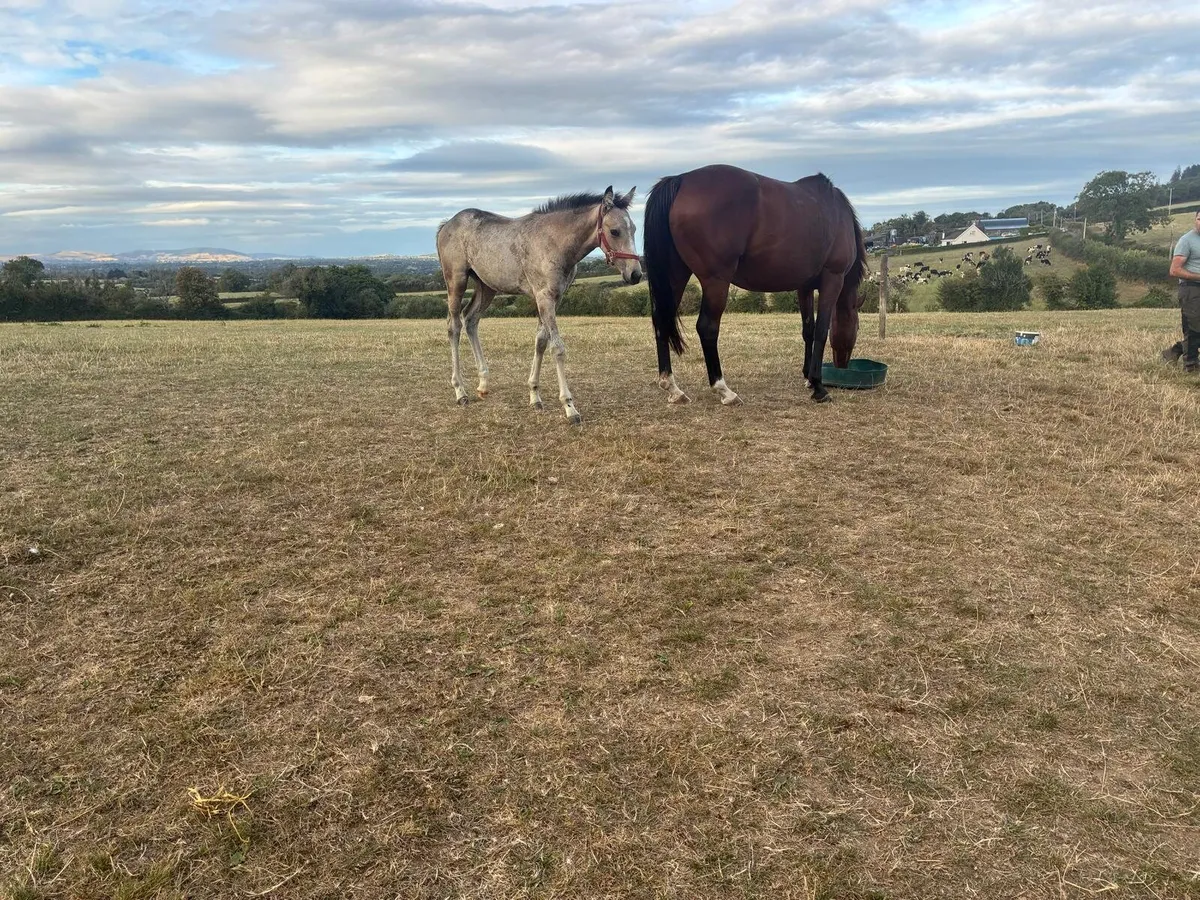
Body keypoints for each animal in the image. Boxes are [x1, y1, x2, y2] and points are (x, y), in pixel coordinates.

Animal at [436, 187, 642, 424]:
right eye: (615, 231)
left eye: (634, 228)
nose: (635, 274)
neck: (555, 241)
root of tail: (447, 224)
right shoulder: (544, 297)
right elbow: (557, 348)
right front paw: (569, 407)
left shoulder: (554, 298)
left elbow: (541, 341)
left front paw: (534, 395)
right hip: (456, 281)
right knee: (454, 326)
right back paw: (460, 391)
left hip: (486, 287)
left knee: (471, 320)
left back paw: (483, 384)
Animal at [643, 164, 867, 404]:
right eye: (858, 326)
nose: (842, 365)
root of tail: (681, 179)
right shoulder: (833, 279)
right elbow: (822, 331)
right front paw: (818, 386)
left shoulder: (804, 287)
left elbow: (808, 329)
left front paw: (808, 377)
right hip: (716, 281)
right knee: (707, 327)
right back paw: (724, 390)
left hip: (675, 278)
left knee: (661, 321)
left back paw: (672, 388)